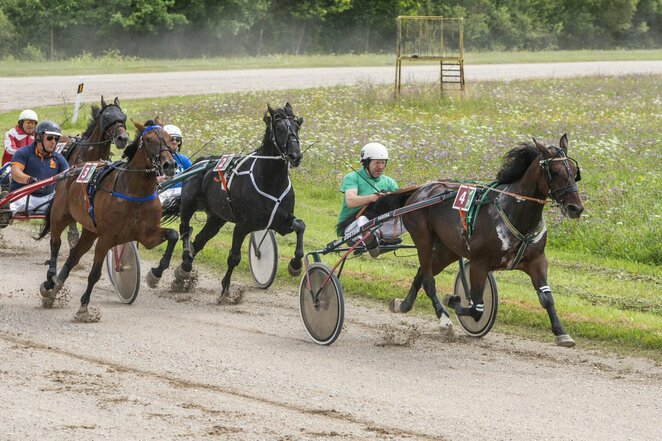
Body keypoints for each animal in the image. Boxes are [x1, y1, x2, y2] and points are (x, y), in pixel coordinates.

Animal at [38, 122, 179, 322]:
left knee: (73, 256)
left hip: (90, 232)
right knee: (55, 243)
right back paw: (50, 280)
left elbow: (173, 235)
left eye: (169, 139)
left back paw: (55, 286)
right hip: (60, 216)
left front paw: (155, 274)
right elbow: (94, 274)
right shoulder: (106, 238)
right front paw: (84, 308)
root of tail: (71, 169)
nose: (169, 165)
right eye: (148, 140)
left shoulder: (147, 235)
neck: (135, 192)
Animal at [148, 103, 306, 302]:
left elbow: (300, 226)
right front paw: (225, 290)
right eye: (279, 128)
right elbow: (234, 257)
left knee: (198, 241)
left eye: (297, 126)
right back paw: (172, 268)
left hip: (216, 218)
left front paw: (295, 265)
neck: (270, 180)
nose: (295, 156)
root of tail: (199, 163)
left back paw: (183, 270)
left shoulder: (280, 221)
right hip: (189, 204)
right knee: (184, 230)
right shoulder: (243, 225)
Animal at [364, 134, 588, 348]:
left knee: (422, 273)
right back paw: (444, 319)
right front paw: (453, 300)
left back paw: (402, 304)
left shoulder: (536, 260)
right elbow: (477, 307)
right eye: (555, 170)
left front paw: (561, 333)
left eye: (574, 170)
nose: (575, 208)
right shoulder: (479, 263)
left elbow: (546, 298)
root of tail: (421, 190)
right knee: (428, 280)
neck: (514, 211)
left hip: (448, 249)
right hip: (423, 239)